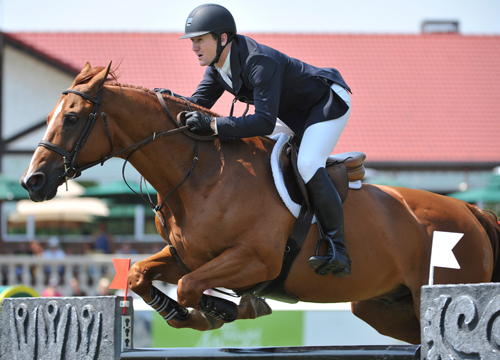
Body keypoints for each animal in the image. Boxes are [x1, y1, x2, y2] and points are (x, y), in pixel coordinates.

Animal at [20, 63, 500, 344]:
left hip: (436, 291)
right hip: (380, 305)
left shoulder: (254, 259)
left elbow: (191, 287)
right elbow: (141, 274)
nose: (32, 181)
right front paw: (190, 312)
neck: (199, 173)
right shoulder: (187, 255)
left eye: (72, 118)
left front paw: (223, 311)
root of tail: (471, 213)